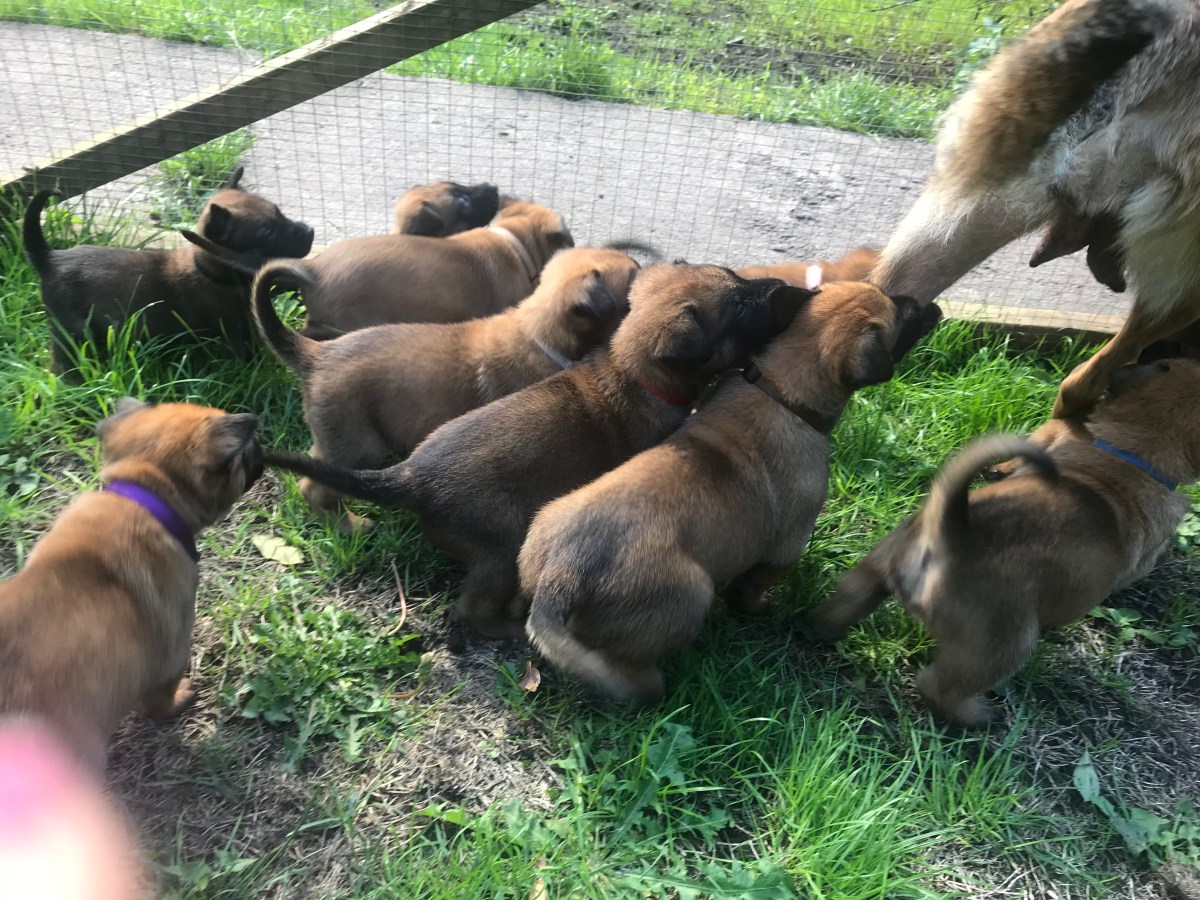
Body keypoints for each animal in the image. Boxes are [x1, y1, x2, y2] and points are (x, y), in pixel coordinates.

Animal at [0, 398, 263, 770]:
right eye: (245, 451)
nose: (263, 446)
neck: (143, 496)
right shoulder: (172, 652)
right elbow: (159, 700)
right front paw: (180, 699)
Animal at [24, 168, 314, 371]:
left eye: (280, 212)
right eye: (267, 231)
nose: (310, 231)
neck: (210, 270)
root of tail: (50, 257)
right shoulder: (235, 334)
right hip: (73, 334)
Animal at [253, 247, 640, 515]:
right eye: (634, 280)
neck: (539, 331)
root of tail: (316, 355)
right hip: (357, 444)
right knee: (314, 488)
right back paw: (352, 526)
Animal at [519, 284, 941, 703]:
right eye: (903, 317)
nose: (929, 307)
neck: (780, 389)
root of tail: (562, 577)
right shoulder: (786, 545)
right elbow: (754, 586)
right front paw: (756, 608)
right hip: (691, 595)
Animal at [805, 357, 1200, 726]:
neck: (1128, 454)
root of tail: (953, 532)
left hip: (873, 569)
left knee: (840, 608)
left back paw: (823, 632)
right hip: (1003, 643)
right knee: (938, 685)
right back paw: (979, 717)